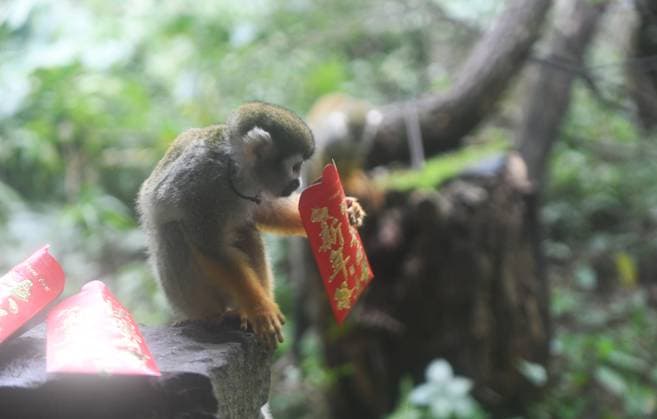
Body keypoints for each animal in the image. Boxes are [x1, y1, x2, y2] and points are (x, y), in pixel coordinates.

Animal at [137, 101, 365, 347]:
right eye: (295, 167)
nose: (297, 182)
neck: (235, 170)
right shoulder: (199, 186)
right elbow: (213, 249)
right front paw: (261, 310)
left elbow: (265, 213)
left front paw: (349, 208)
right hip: (178, 297)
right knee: (175, 231)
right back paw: (211, 315)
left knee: (246, 230)